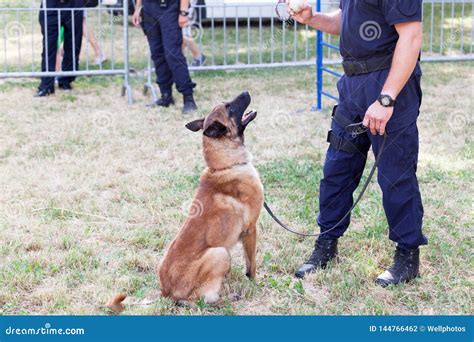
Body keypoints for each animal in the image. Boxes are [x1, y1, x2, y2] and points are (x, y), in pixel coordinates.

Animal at [158, 91, 262, 304]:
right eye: (230, 107)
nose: (246, 92)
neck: (224, 166)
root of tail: (166, 293)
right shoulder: (250, 229)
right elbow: (252, 264)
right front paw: (254, 284)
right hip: (220, 252)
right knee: (199, 300)